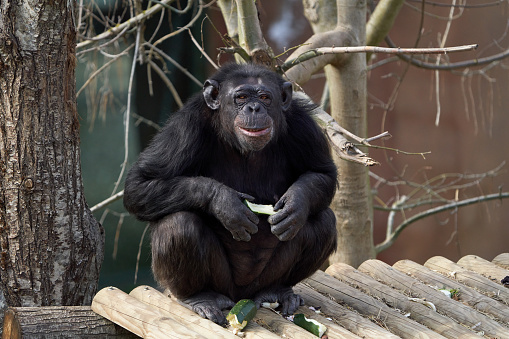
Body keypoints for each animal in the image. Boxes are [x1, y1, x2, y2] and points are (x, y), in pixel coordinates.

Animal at [123, 63, 338, 326]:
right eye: (241, 97)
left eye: (265, 98)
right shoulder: (185, 127)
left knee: (324, 221)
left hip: (263, 280)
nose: (254, 108)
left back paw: (277, 290)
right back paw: (199, 297)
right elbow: (140, 184)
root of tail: (241, 296)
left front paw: (295, 205)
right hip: (222, 283)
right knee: (178, 224)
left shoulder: (302, 123)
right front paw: (226, 203)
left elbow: (322, 172)